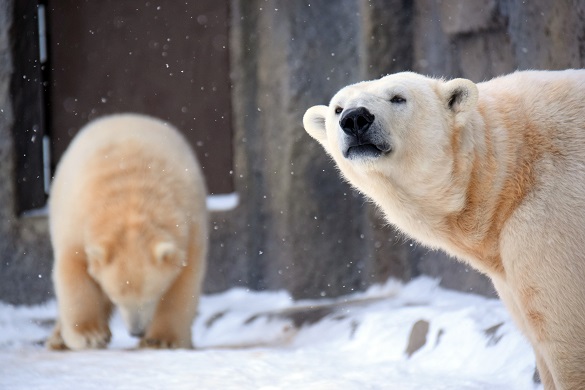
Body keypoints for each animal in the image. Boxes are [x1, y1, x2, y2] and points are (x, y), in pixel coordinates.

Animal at [47, 112, 208, 350]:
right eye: (116, 297)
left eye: (152, 296)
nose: (136, 331)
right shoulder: (79, 219)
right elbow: (74, 268)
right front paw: (90, 335)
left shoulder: (190, 224)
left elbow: (183, 282)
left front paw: (161, 340)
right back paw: (58, 339)